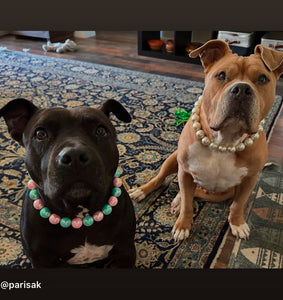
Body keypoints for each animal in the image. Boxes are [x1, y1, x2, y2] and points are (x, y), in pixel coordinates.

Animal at [0, 98, 138, 268]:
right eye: (40, 134)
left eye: (100, 130)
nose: (75, 155)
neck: (80, 215)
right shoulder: (41, 261)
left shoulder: (126, 253)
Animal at [130, 39, 283, 241]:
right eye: (221, 75)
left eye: (262, 79)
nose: (242, 89)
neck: (223, 141)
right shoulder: (185, 172)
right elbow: (187, 204)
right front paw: (183, 225)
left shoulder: (249, 180)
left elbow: (237, 204)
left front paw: (237, 223)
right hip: (173, 159)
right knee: (162, 179)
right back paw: (143, 191)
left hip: (218, 194)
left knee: (195, 193)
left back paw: (178, 200)